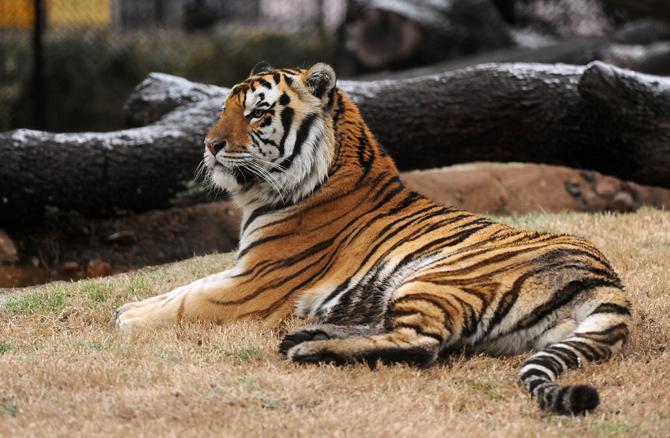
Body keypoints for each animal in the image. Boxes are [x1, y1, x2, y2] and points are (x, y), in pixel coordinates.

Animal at [113, 60, 632, 414]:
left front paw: (128, 318)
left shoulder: (253, 285)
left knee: (422, 345)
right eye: (224, 110)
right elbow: (182, 287)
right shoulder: (242, 269)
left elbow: (189, 302)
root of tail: (607, 280)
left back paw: (308, 347)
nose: (210, 144)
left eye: (257, 114)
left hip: (433, 278)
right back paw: (310, 332)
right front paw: (130, 307)